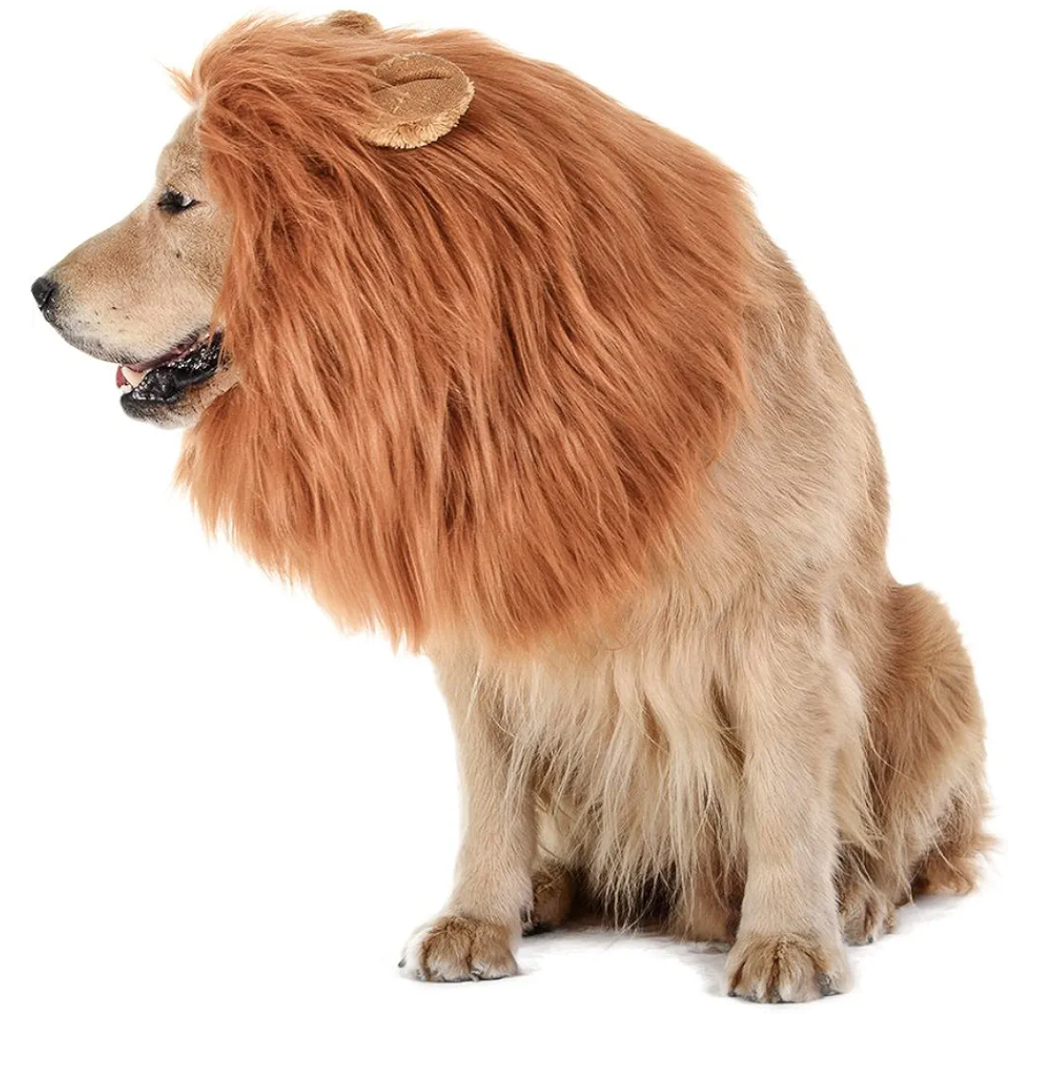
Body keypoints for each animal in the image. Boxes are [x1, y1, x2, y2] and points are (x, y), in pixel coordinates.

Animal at [31, 11, 988, 1002]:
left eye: (176, 201)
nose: (37, 290)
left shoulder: (781, 625)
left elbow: (786, 798)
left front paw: (789, 941)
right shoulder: (484, 623)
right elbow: (492, 800)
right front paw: (476, 920)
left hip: (932, 637)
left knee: (906, 844)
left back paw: (857, 899)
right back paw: (548, 889)